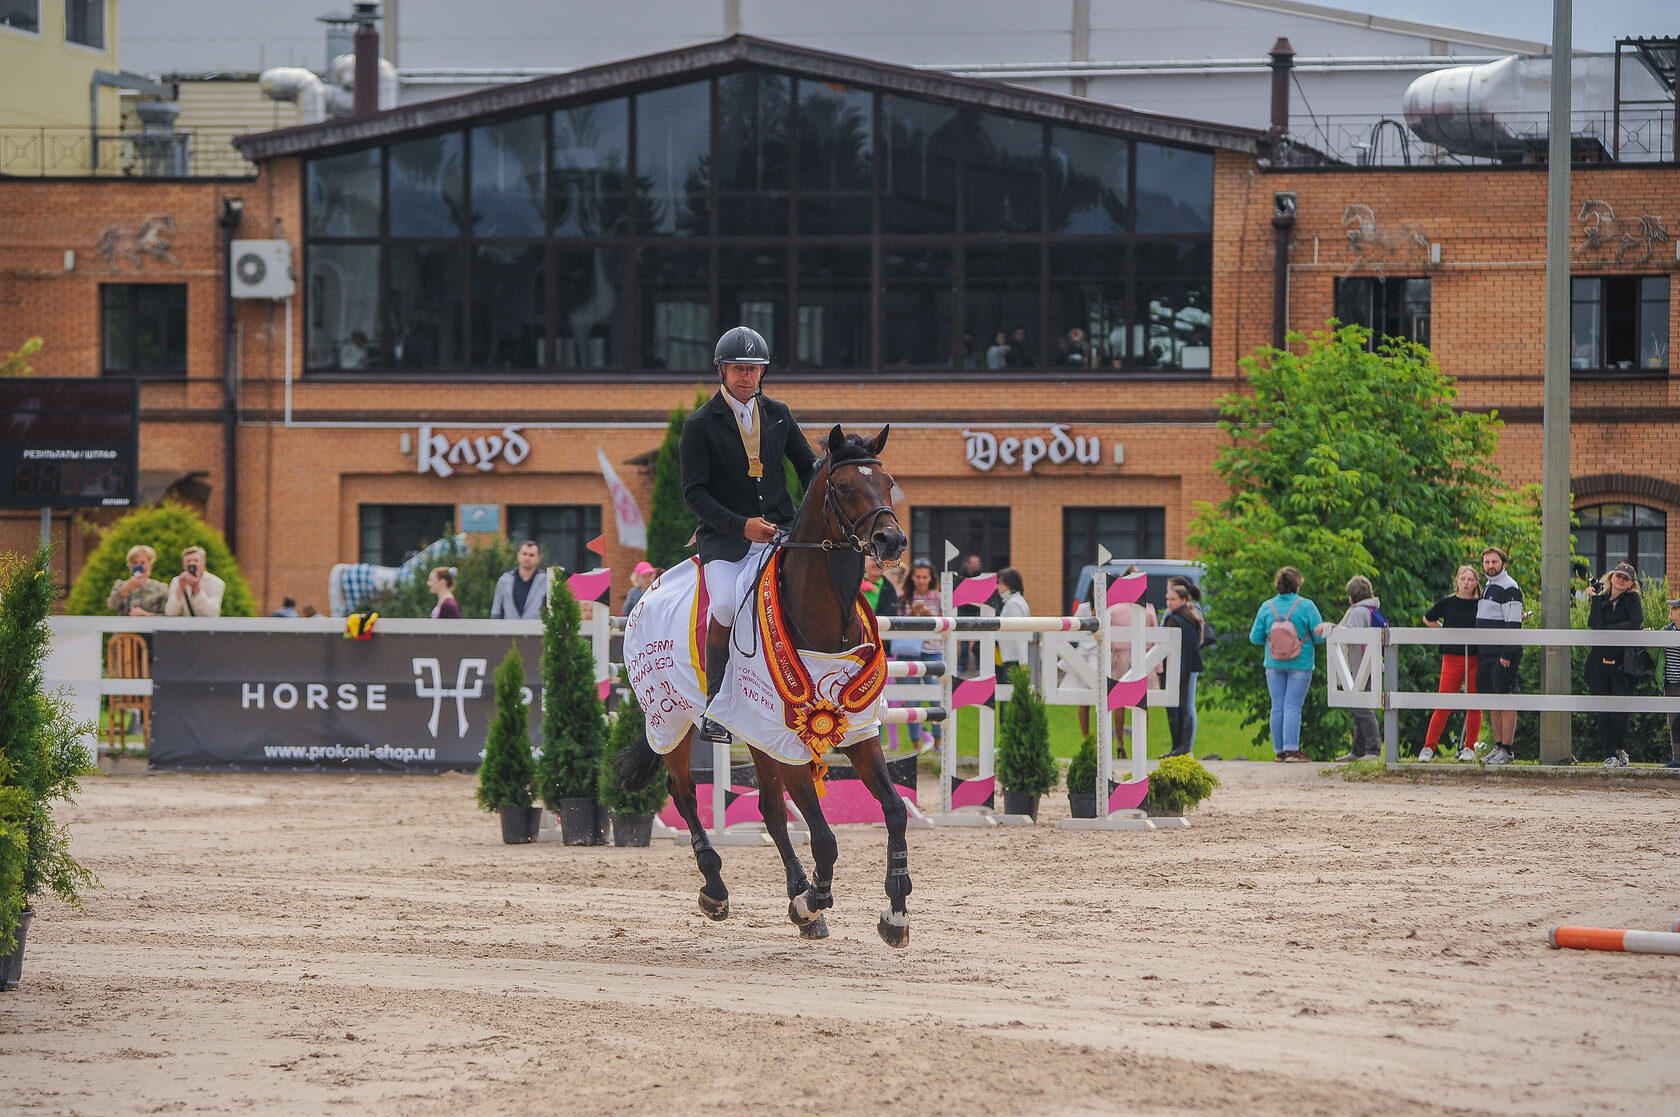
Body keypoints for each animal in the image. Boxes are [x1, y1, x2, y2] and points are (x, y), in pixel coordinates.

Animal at [614, 423, 913, 947]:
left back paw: (796, 894)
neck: (823, 620)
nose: (891, 540)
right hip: (669, 718)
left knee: (770, 810)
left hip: (753, 733)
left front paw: (894, 911)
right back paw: (716, 889)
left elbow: (894, 810)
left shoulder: (857, 733)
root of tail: (648, 590)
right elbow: (825, 837)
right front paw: (815, 898)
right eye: (844, 487)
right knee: (684, 793)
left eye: (888, 482)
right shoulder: (787, 742)